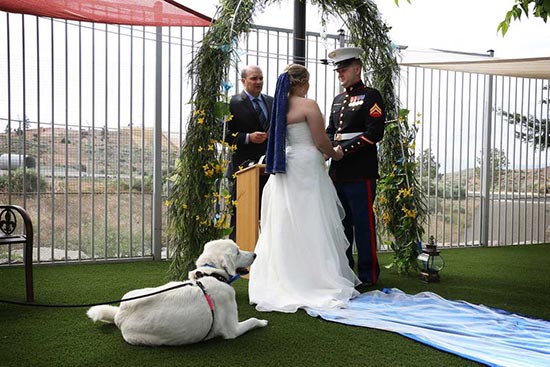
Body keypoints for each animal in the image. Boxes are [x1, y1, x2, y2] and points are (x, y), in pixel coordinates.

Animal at [85, 240, 268, 346]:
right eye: (237, 251)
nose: (255, 254)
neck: (211, 274)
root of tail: (121, 316)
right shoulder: (233, 330)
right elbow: (252, 320)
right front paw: (262, 321)